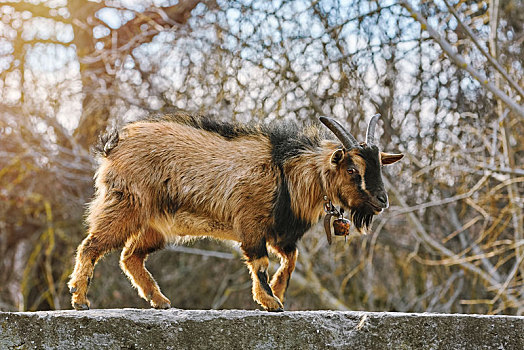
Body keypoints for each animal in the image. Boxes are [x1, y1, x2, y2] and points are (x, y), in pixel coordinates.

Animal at [68, 113, 406, 310]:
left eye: (379, 166)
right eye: (352, 169)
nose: (382, 200)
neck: (284, 169)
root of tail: (113, 145)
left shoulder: (281, 233)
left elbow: (291, 260)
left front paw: (278, 292)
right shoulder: (252, 222)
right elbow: (260, 262)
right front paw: (269, 301)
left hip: (155, 224)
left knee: (130, 256)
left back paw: (160, 300)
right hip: (124, 205)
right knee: (92, 245)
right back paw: (80, 298)